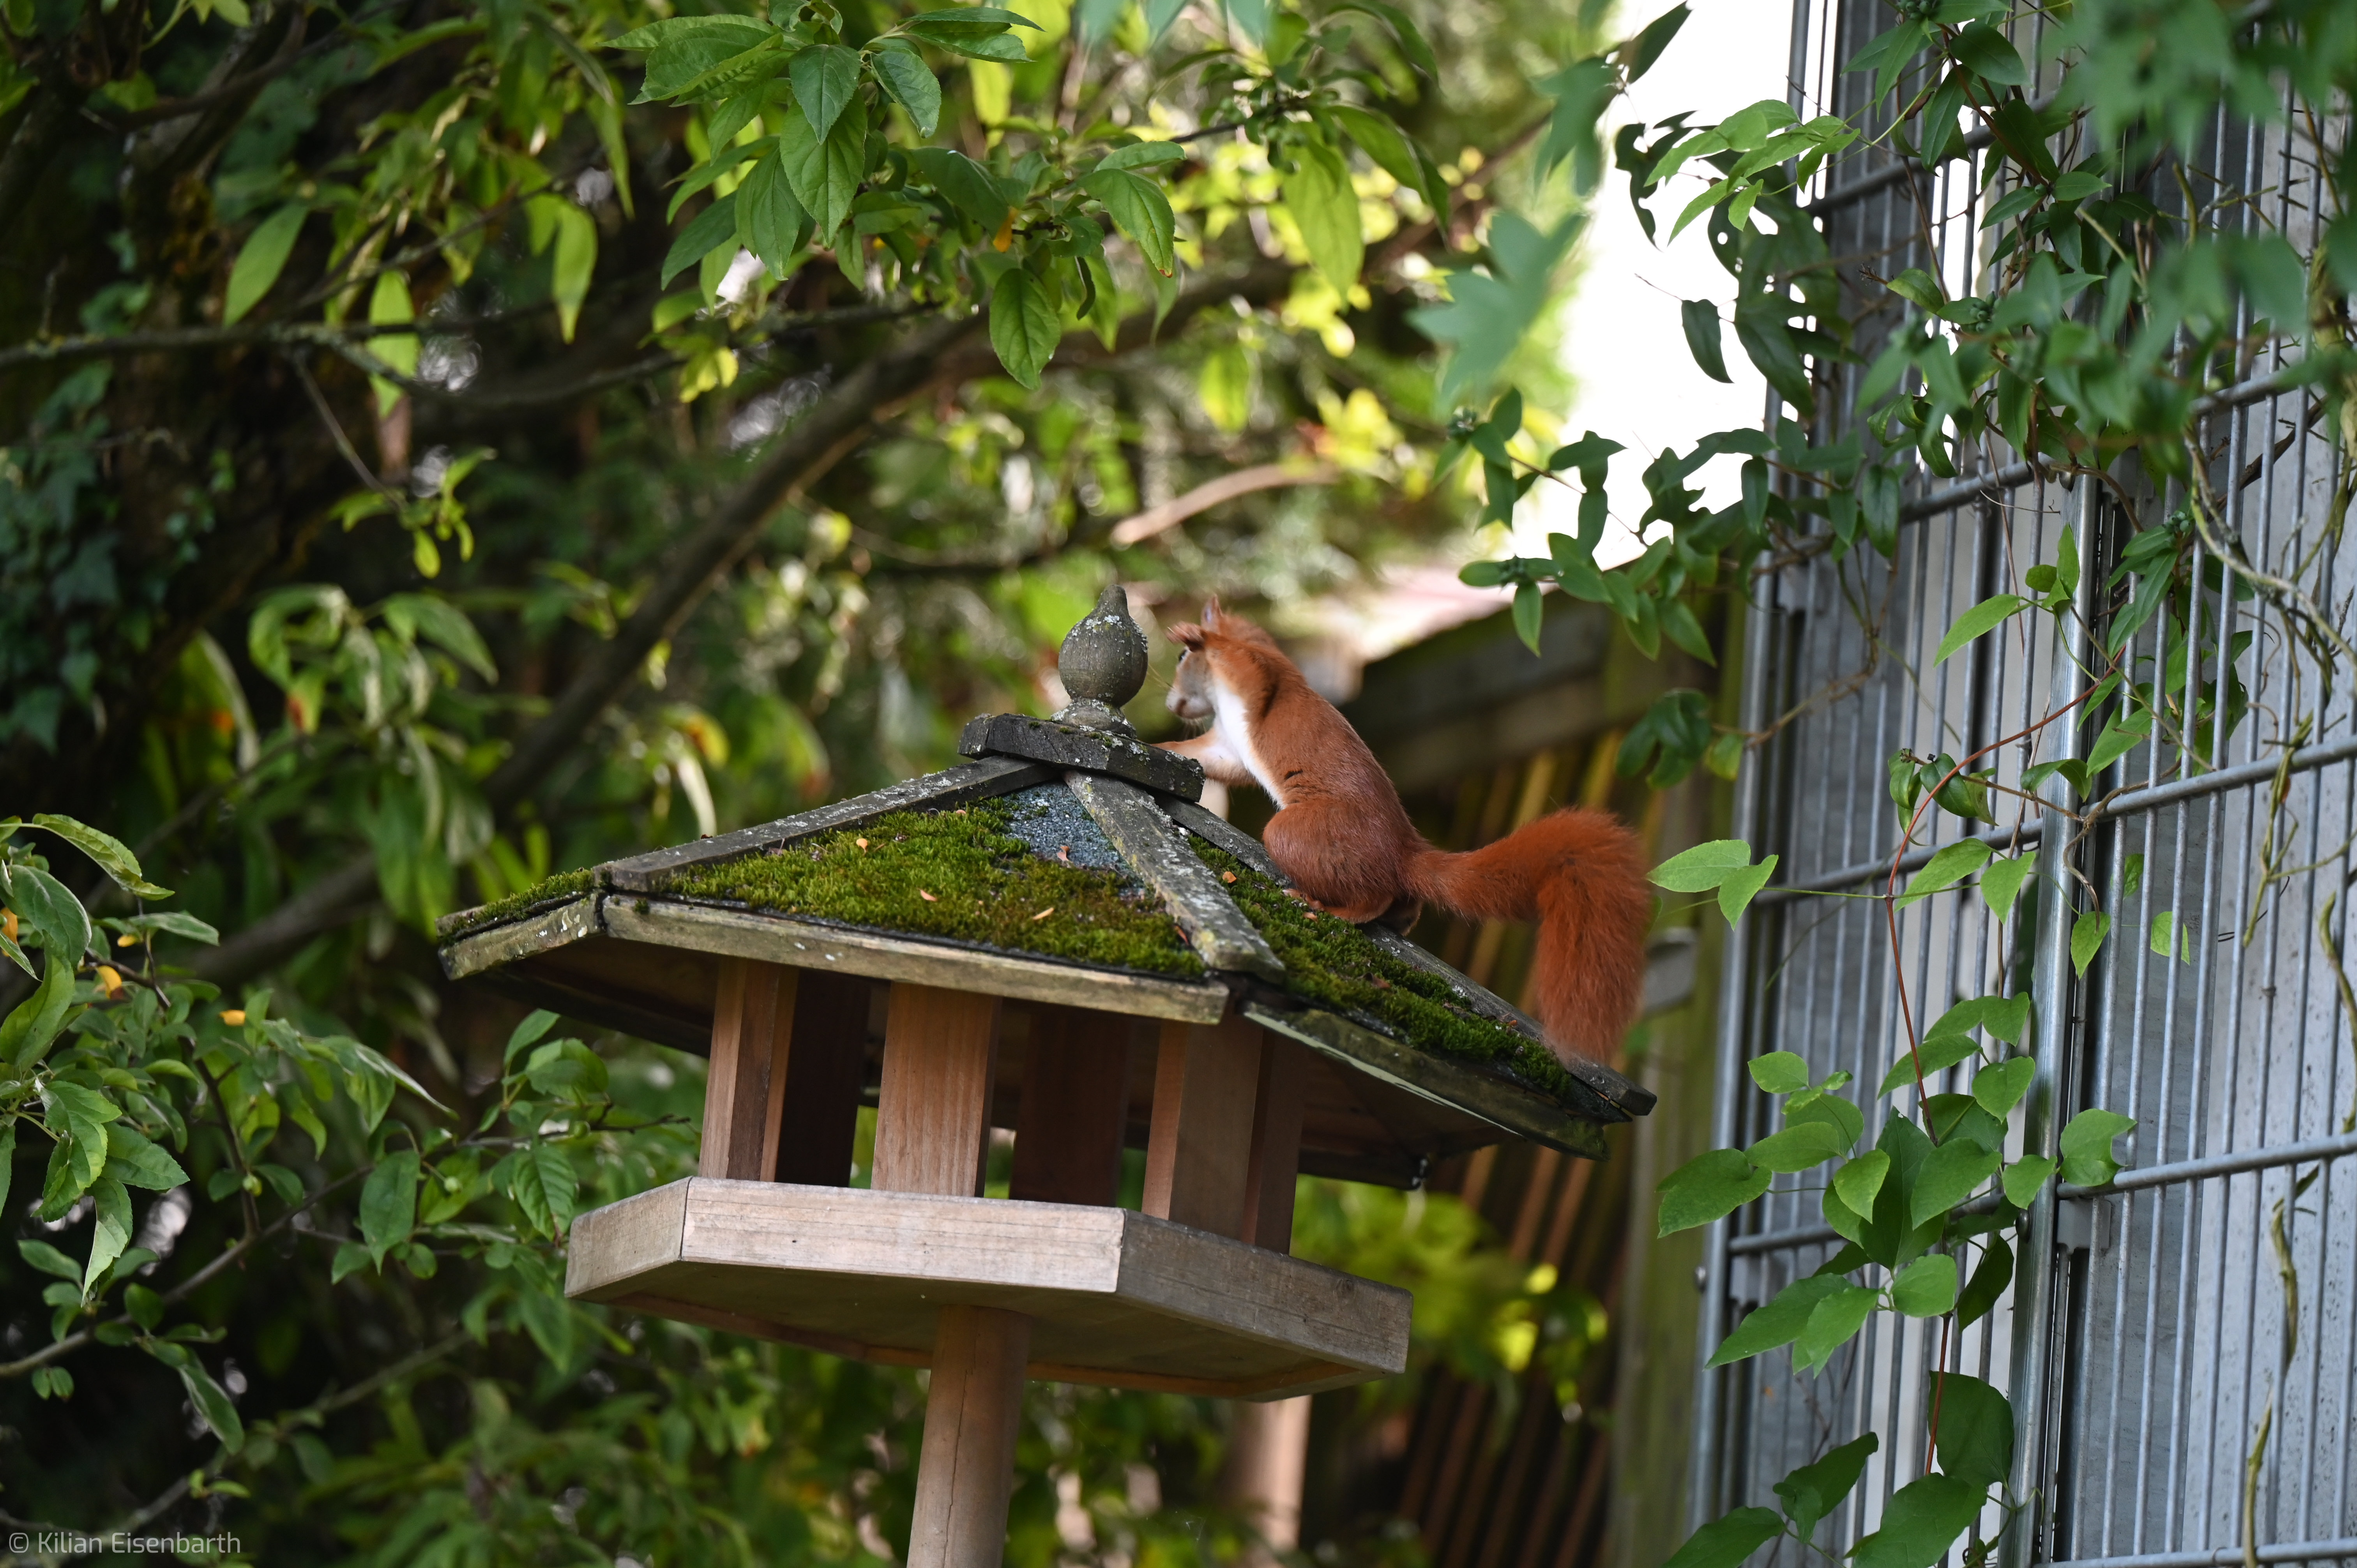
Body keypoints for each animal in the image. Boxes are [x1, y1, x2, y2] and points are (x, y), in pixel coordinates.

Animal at [1157, 598, 1652, 1065]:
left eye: (1183, 658)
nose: (1172, 704)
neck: (1223, 700)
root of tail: (1404, 854)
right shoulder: (1227, 747)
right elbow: (1204, 755)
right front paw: (1159, 743)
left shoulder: (1261, 676)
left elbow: (1248, 663)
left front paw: (1198, 634)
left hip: (1296, 834)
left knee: (1370, 899)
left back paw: (1324, 906)